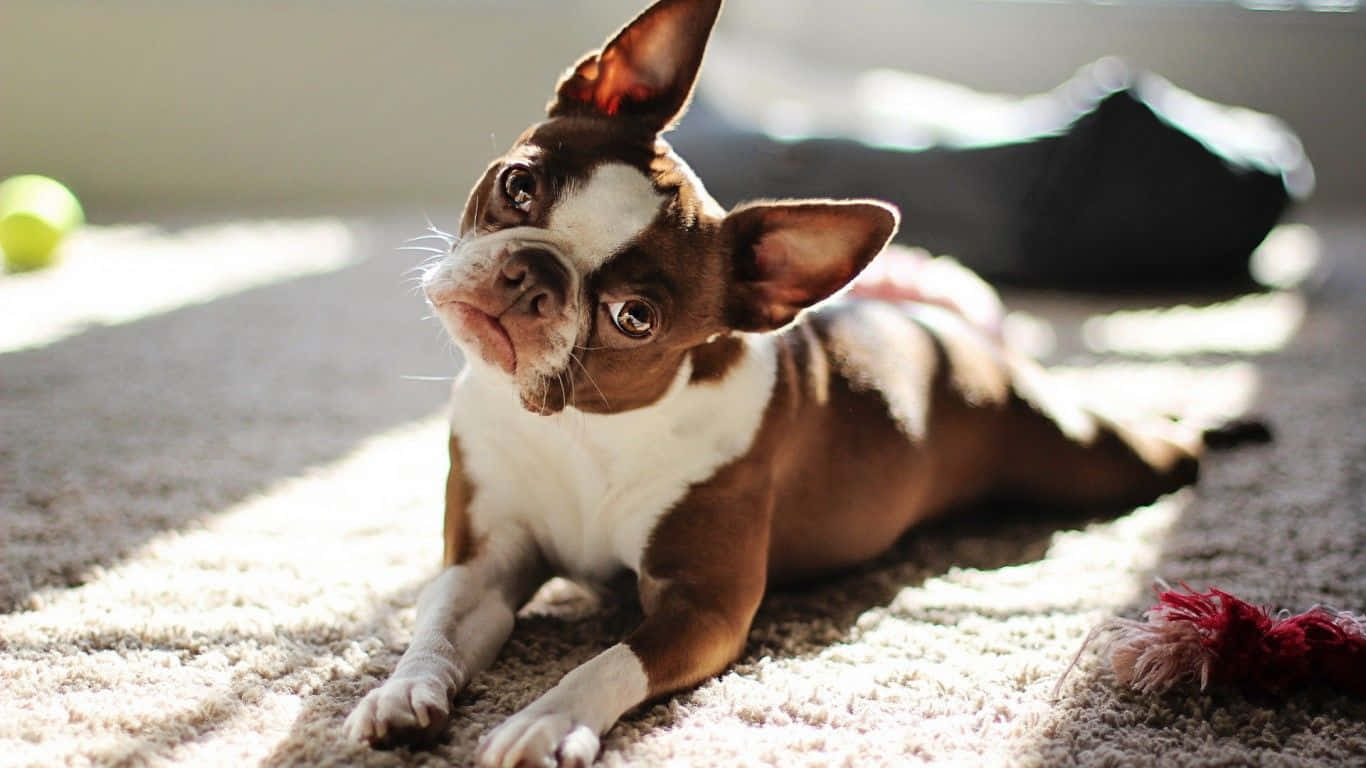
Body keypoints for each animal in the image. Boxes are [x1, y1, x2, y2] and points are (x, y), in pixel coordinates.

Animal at [341, 2, 1251, 759]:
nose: (531, 276)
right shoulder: (484, 559)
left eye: (635, 317)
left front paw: (544, 718)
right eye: (519, 184)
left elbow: (608, 662)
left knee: (1164, 448)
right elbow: (438, 624)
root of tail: (959, 333)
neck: (579, 425)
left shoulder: (704, 608)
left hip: (1086, 457)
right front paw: (402, 692)